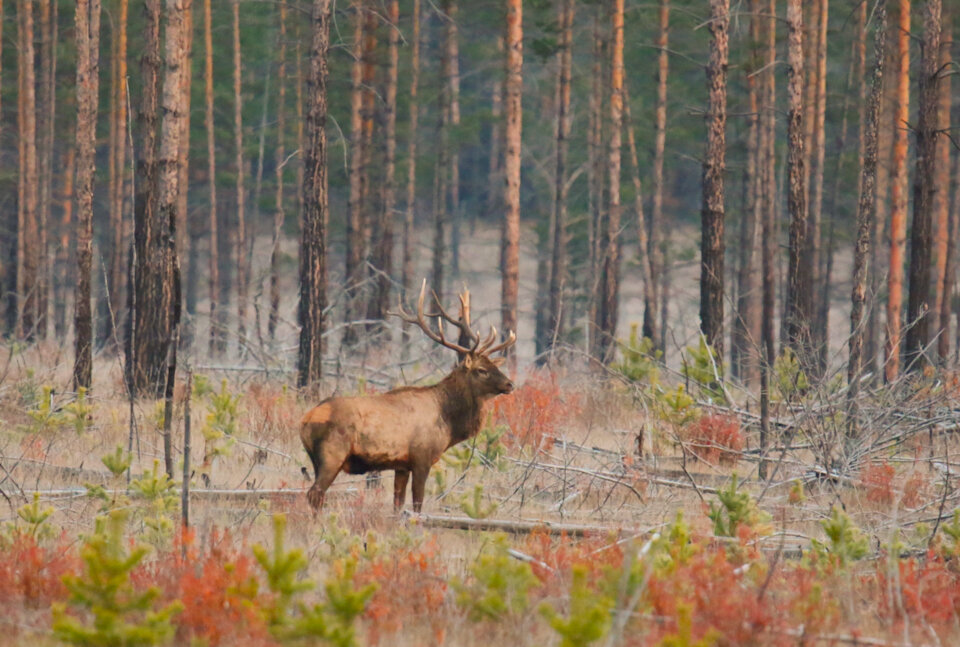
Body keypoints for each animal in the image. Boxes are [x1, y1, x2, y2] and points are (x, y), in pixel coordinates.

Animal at [302, 280, 516, 512]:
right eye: (481, 370)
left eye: (494, 365)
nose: (510, 384)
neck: (448, 422)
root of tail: (305, 420)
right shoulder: (422, 458)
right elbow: (417, 504)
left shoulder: (401, 465)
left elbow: (398, 505)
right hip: (332, 454)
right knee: (314, 494)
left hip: (316, 460)